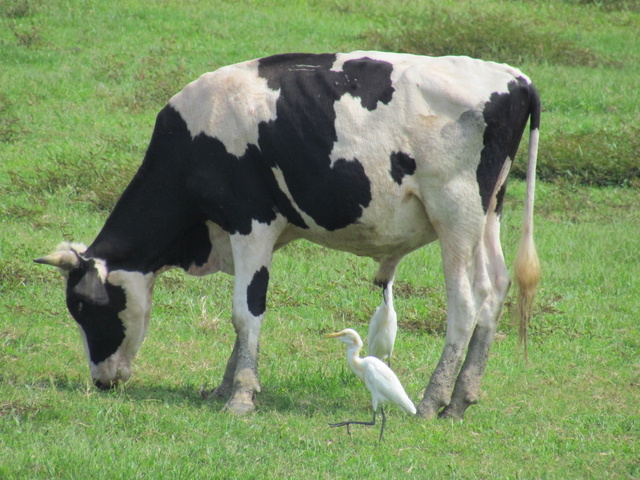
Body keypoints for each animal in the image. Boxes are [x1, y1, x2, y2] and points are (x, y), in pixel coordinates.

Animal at [36, 53, 540, 420]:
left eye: (84, 306)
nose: (100, 380)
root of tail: (514, 77)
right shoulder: (258, 235)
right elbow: (246, 315)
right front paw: (226, 385)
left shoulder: (251, 223)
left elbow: (245, 312)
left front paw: (240, 397)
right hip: (489, 214)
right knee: (494, 292)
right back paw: (461, 399)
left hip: (455, 213)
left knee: (465, 305)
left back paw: (434, 400)